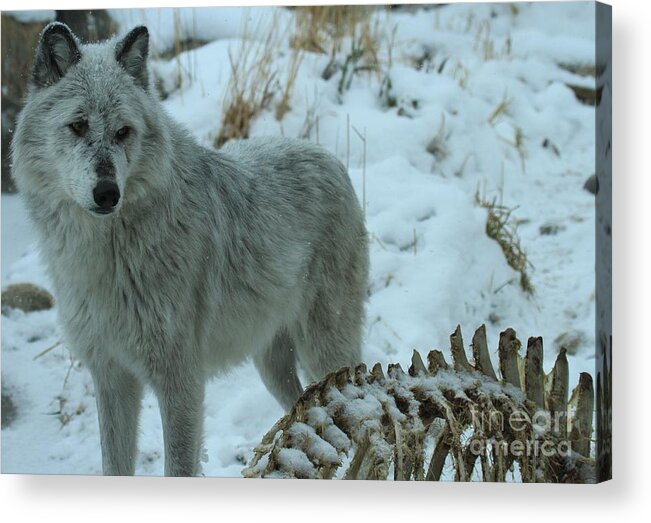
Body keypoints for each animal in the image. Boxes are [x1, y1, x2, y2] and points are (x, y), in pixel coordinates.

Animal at [10, 22, 370, 476]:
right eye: (78, 125)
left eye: (123, 132)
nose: (107, 193)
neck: (106, 258)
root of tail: (330, 158)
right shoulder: (111, 376)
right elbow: (115, 465)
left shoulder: (180, 381)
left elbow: (178, 466)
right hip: (272, 365)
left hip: (324, 351)